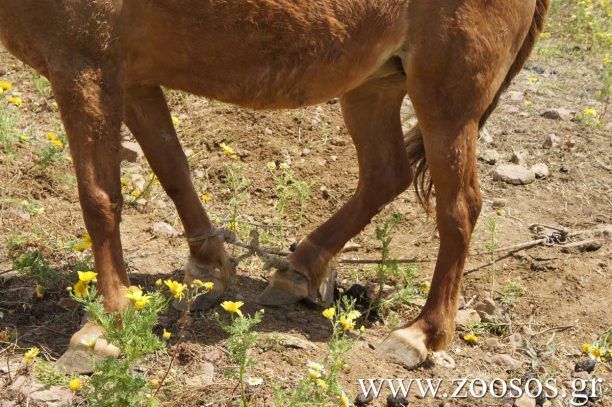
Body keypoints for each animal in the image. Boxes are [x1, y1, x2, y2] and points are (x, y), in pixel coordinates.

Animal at [0, 0, 548, 372]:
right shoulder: (131, 79)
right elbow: (172, 168)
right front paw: (207, 267)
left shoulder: (85, 70)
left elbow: (99, 200)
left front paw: (104, 325)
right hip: (375, 84)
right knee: (385, 173)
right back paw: (300, 268)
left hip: (446, 99)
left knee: (460, 208)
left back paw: (422, 335)